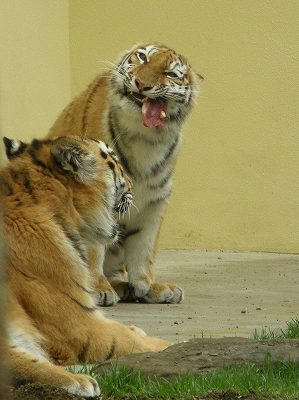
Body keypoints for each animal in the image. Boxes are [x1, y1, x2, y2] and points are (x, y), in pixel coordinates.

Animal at [0, 135, 170, 396]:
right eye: (114, 161)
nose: (133, 184)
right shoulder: (78, 322)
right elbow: (128, 340)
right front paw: (170, 345)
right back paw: (80, 382)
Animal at [49, 42, 204, 306]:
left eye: (171, 74)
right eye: (142, 58)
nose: (142, 84)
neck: (145, 138)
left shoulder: (155, 202)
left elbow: (144, 248)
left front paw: (148, 286)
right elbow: (94, 249)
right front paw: (98, 289)